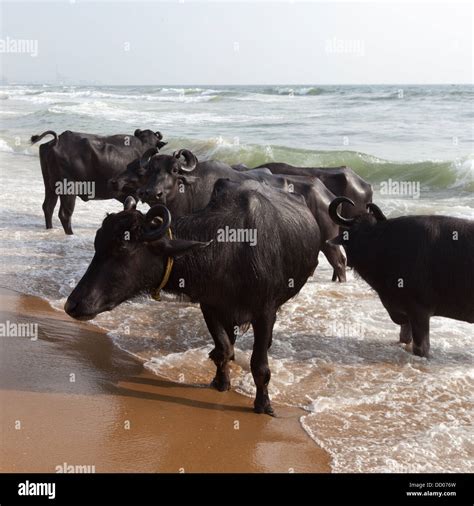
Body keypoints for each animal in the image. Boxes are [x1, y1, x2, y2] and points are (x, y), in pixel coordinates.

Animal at [64, 179, 322, 416]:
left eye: (122, 248)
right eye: (98, 243)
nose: (72, 304)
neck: (231, 251)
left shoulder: (265, 312)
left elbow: (259, 365)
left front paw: (263, 404)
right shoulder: (210, 307)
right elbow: (223, 348)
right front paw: (221, 382)